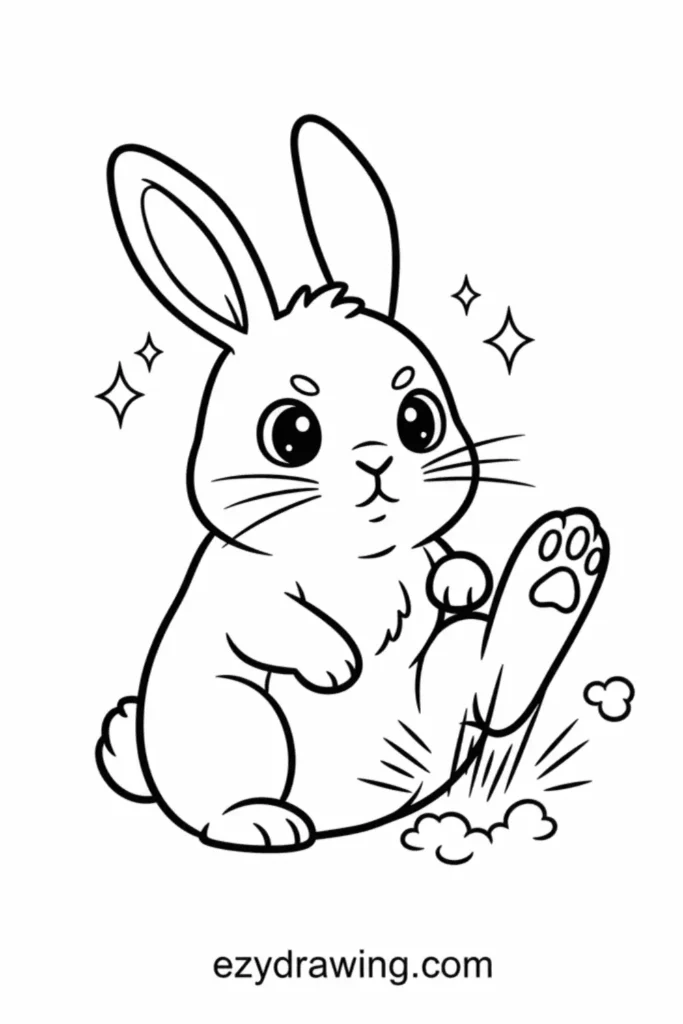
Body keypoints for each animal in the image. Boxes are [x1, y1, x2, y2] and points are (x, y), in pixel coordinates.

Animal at [96, 116, 609, 851]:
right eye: (292, 434)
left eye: (418, 420)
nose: (375, 462)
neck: (351, 559)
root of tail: (360, 808)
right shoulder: (242, 588)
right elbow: (272, 619)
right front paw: (336, 663)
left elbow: (451, 570)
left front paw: (464, 579)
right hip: (237, 717)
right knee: (226, 793)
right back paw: (261, 821)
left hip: (445, 676)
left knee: (489, 686)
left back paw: (557, 571)